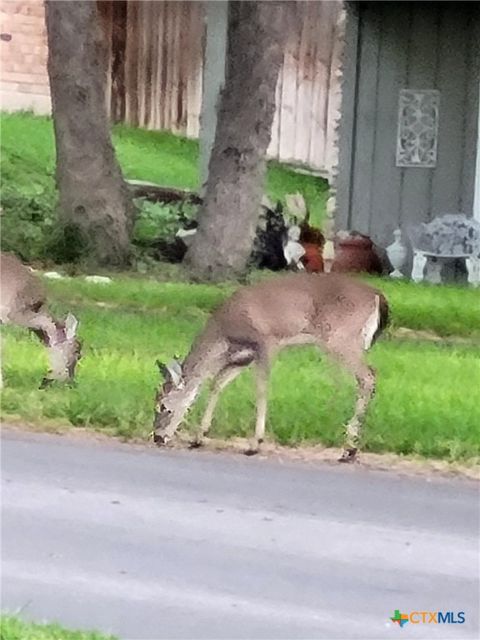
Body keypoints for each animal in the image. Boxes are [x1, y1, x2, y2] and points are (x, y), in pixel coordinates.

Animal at [154, 272, 390, 462]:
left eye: (163, 407)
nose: (157, 437)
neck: (224, 335)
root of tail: (379, 296)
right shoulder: (242, 357)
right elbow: (217, 384)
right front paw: (198, 438)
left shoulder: (266, 341)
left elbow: (261, 388)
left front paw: (255, 444)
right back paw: (350, 449)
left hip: (340, 338)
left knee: (368, 376)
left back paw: (348, 450)